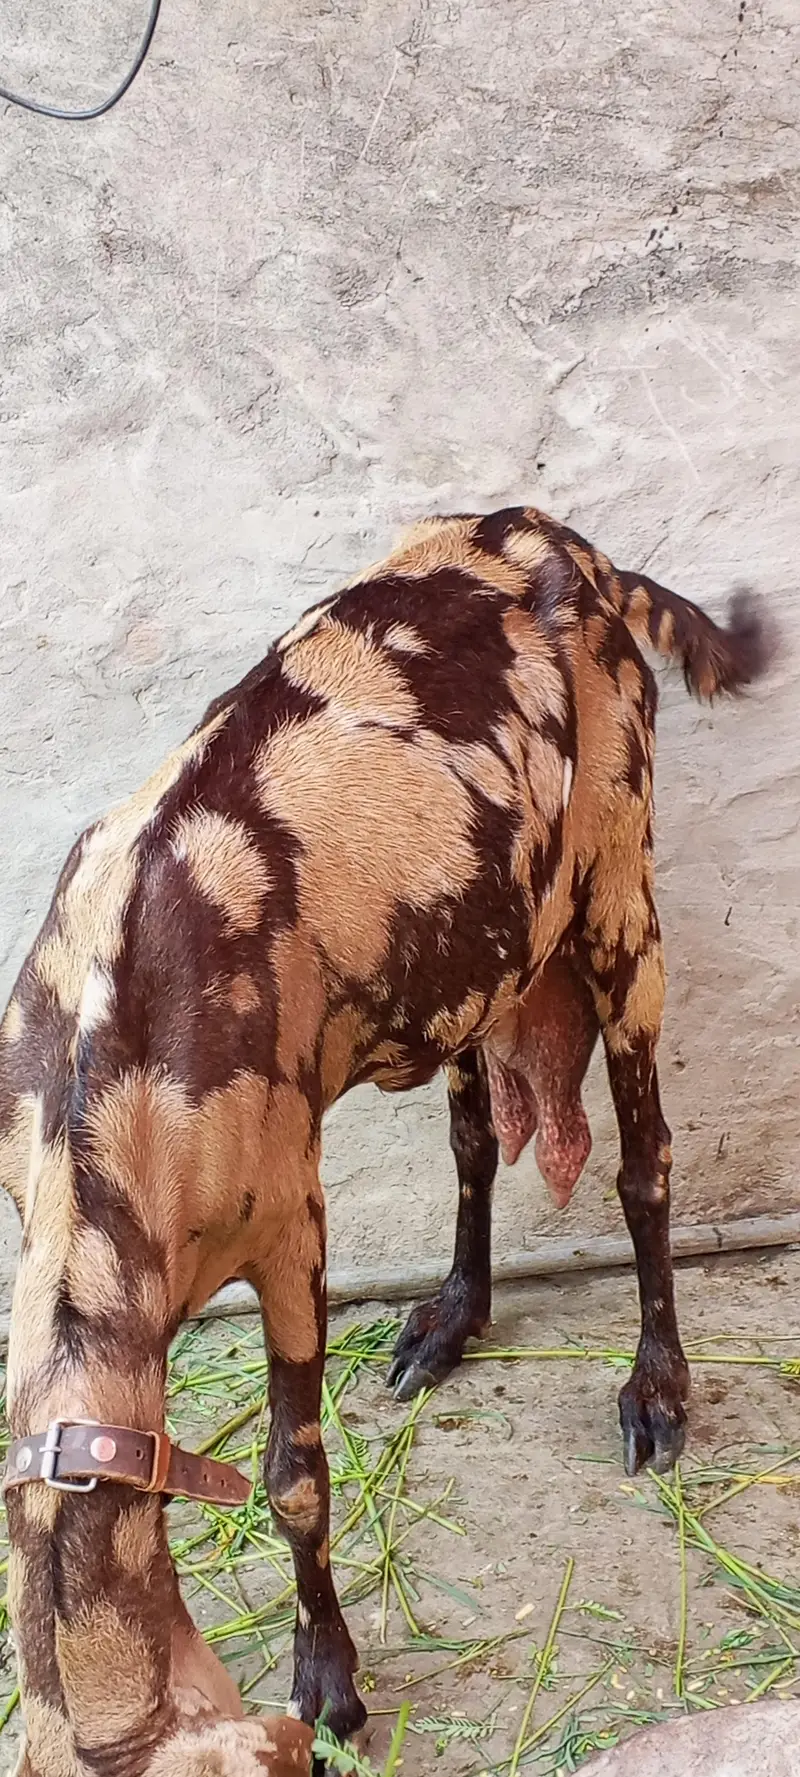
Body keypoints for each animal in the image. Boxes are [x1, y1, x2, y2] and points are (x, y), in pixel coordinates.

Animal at [0, 506, 774, 1772]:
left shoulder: (289, 1222)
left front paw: (331, 1680)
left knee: (643, 1161)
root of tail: (559, 537)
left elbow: (294, 1478)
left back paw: (655, 1393)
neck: (100, 1085)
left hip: (619, 885)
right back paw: (448, 1319)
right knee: (473, 1139)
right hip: (479, 965)